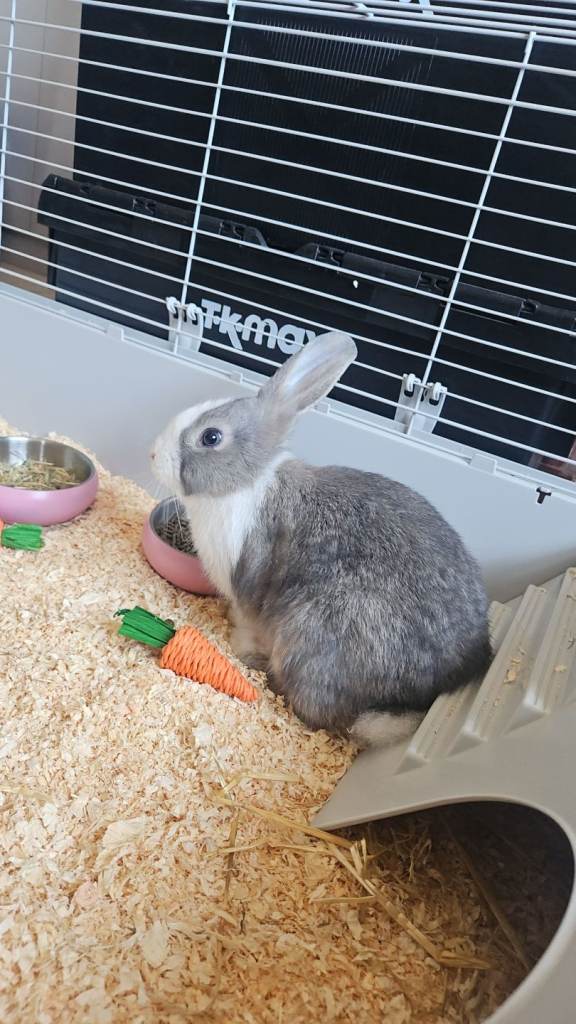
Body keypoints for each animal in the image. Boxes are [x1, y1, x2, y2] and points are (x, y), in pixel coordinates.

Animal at [151, 331, 492, 748]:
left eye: (210, 436)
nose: (153, 455)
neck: (247, 482)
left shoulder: (247, 583)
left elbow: (248, 617)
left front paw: (238, 636)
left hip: (312, 632)